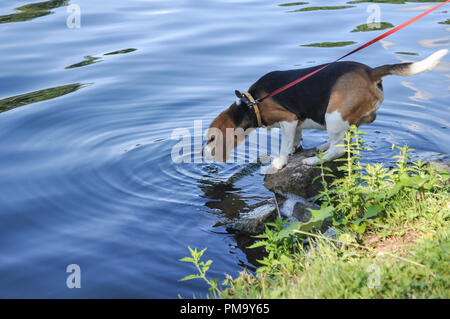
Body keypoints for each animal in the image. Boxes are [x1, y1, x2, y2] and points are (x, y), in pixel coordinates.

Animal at [203, 49, 446, 170]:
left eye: (210, 139)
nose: (201, 154)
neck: (250, 104)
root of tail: (370, 72)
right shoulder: (296, 123)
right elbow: (295, 140)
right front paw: (294, 150)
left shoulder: (288, 119)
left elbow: (283, 146)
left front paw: (280, 162)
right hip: (346, 121)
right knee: (344, 142)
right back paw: (322, 147)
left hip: (334, 115)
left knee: (339, 149)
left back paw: (314, 160)